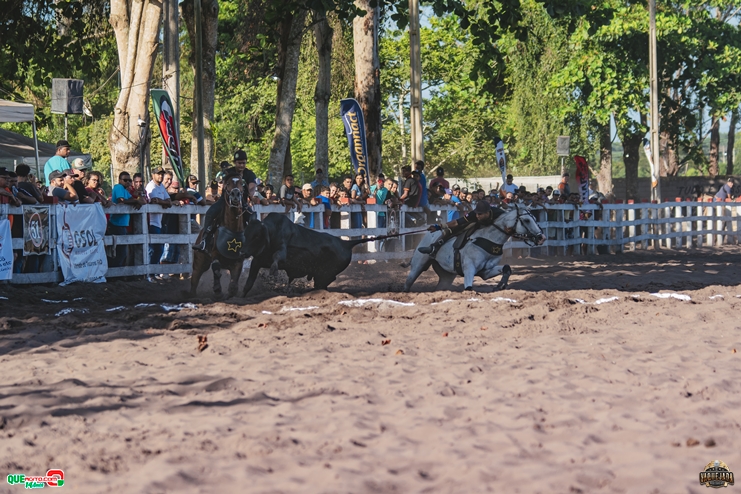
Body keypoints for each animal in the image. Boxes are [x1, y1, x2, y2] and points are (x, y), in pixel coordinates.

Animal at [239, 213, 371, 296]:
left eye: (256, 236)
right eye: (245, 233)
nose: (242, 252)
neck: (272, 232)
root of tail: (345, 243)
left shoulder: (281, 249)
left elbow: (277, 257)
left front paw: (273, 269)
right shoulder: (257, 261)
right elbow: (248, 284)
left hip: (325, 273)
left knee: (325, 281)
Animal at [403, 203, 546, 292]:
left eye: (534, 217)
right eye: (527, 220)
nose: (541, 237)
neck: (488, 239)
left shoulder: (485, 272)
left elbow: (506, 268)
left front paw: (500, 285)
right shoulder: (469, 270)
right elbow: (469, 288)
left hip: (446, 276)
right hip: (417, 266)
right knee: (408, 284)